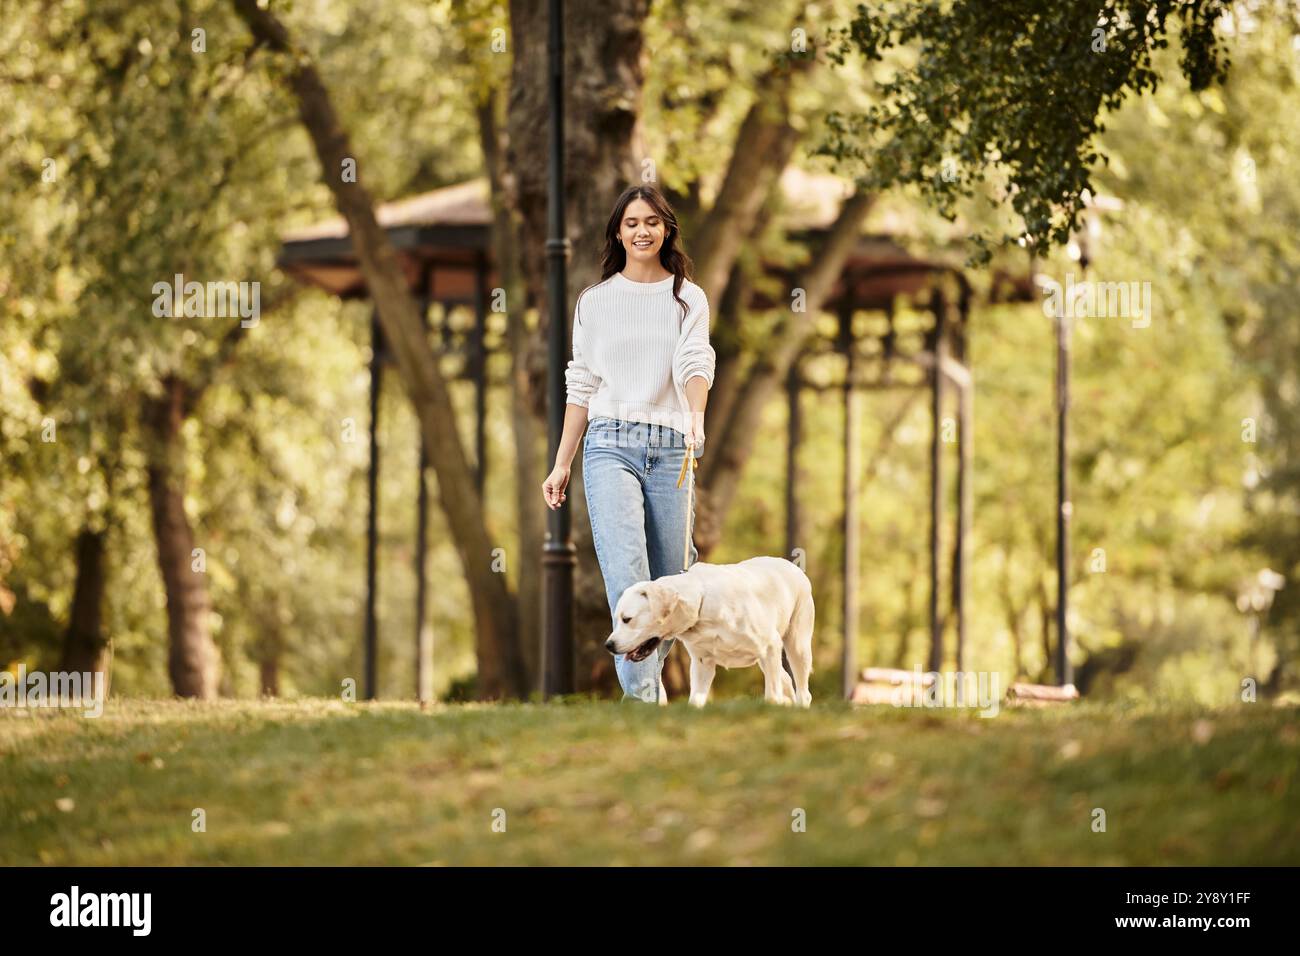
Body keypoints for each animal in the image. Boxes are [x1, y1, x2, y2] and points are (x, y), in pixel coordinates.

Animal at [600, 556, 811, 707]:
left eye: (627, 619)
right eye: (616, 619)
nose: (608, 645)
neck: (701, 602)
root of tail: (792, 565)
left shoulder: (770, 646)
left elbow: (772, 695)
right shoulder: (702, 663)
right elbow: (695, 700)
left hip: (797, 647)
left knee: (802, 691)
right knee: (785, 678)